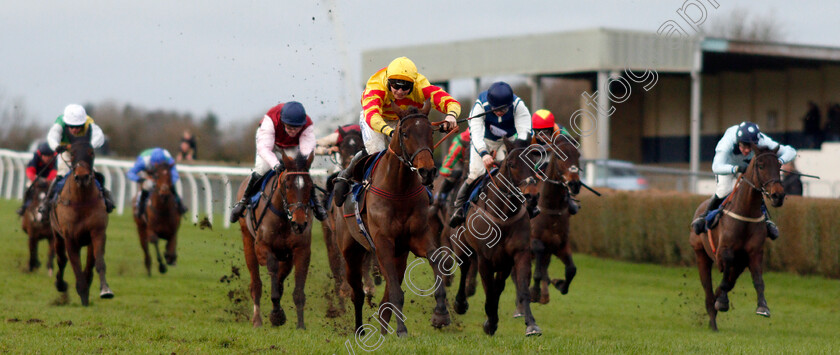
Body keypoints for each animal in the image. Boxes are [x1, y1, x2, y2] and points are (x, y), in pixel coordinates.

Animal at [49, 135, 113, 308]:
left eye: (91, 153)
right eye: (72, 154)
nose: (83, 176)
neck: (81, 200)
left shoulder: (97, 233)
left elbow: (98, 262)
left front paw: (105, 289)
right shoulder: (70, 238)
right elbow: (75, 266)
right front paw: (82, 292)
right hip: (57, 236)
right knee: (61, 260)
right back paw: (60, 284)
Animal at [236, 152, 316, 330]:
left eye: (310, 186)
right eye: (287, 185)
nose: (299, 222)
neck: (284, 218)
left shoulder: (301, 250)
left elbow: (295, 287)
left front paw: (300, 325)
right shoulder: (262, 247)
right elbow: (272, 273)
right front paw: (276, 314)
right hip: (247, 240)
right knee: (256, 284)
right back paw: (257, 320)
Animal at [338, 105, 452, 336]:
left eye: (431, 132)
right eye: (405, 133)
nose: (427, 171)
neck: (399, 190)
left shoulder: (418, 237)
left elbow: (435, 258)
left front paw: (441, 314)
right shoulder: (383, 244)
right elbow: (395, 293)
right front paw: (401, 330)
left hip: (400, 256)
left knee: (387, 294)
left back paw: (383, 331)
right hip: (351, 252)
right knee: (358, 293)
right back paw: (360, 331)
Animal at [452, 139, 544, 336]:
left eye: (534, 164)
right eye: (512, 164)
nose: (531, 195)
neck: (503, 215)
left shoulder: (516, 254)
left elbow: (517, 287)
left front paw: (531, 324)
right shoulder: (484, 258)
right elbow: (489, 289)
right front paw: (491, 322)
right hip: (461, 246)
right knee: (464, 269)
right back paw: (460, 303)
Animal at [692, 144, 784, 330]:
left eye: (779, 166)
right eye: (761, 165)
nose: (778, 195)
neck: (746, 213)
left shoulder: (754, 253)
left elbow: (758, 280)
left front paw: (762, 307)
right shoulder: (724, 251)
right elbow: (726, 267)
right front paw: (722, 301)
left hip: (740, 264)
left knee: (726, 283)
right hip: (701, 254)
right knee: (708, 290)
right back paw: (713, 321)